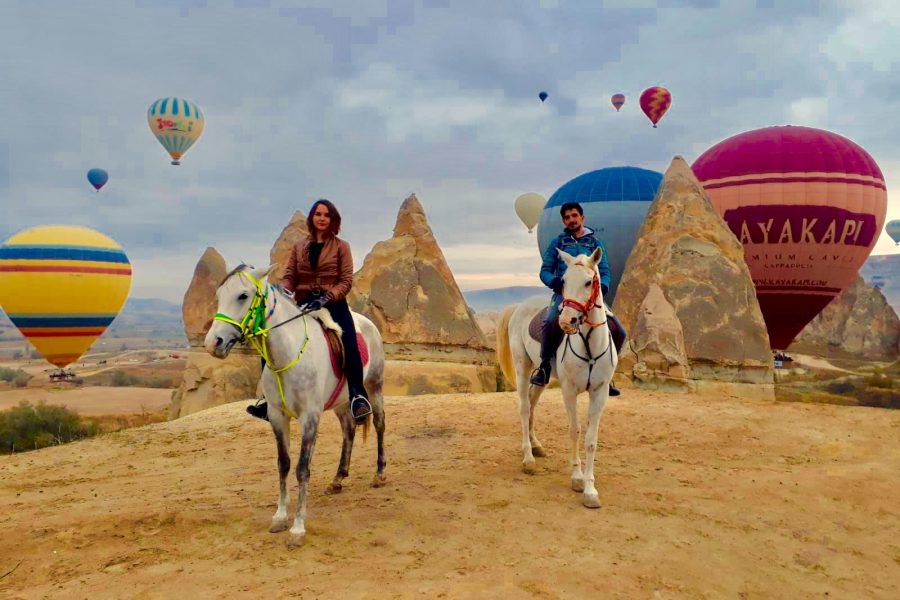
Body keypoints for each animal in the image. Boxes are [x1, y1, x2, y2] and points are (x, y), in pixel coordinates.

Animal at [204, 264, 386, 548]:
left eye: (243, 296)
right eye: (219, 295)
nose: (213, 343)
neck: (287, 354)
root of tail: (368, 323)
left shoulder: (309, 417)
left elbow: (302, 468)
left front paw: (298, 528)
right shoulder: (278, 416)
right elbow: (284, 463)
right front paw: (280, 517)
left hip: (375, 386)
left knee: (379, 423)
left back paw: (379, 473)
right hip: (341, 401)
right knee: (348, 430)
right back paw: (338, 478)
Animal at [496, 247, 616, 506]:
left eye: (589, 282)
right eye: (563, 281)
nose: (566, 321)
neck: (589, 345)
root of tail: (520, 306)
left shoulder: (600, 393)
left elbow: (591, 439)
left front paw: (590, 490)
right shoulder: (569, 390)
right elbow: (574, 430)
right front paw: (577, 478)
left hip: (542, 377)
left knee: (532, 404)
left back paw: (536, 446)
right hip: (522, 367)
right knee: (524, 408)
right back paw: (528, 458)